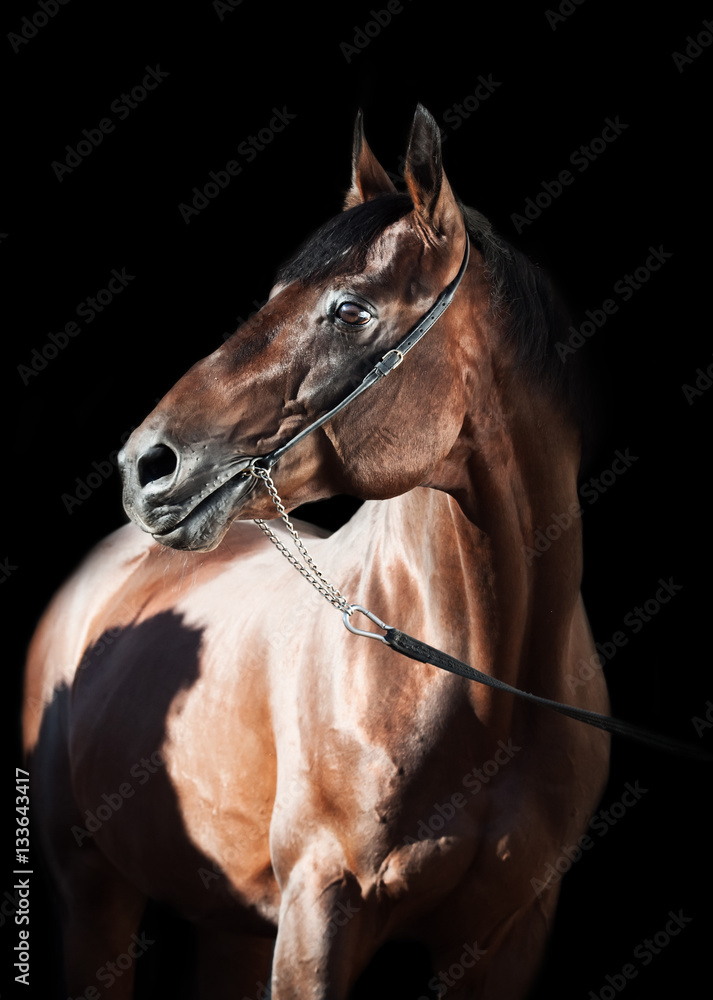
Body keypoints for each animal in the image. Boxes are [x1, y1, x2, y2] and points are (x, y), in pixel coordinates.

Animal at [23, 104, 610, 999]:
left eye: (349, 311)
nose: (144, 467)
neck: (483, 682)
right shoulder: (319, 912)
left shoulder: (506, 936)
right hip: (95, 900)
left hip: (226, 922)